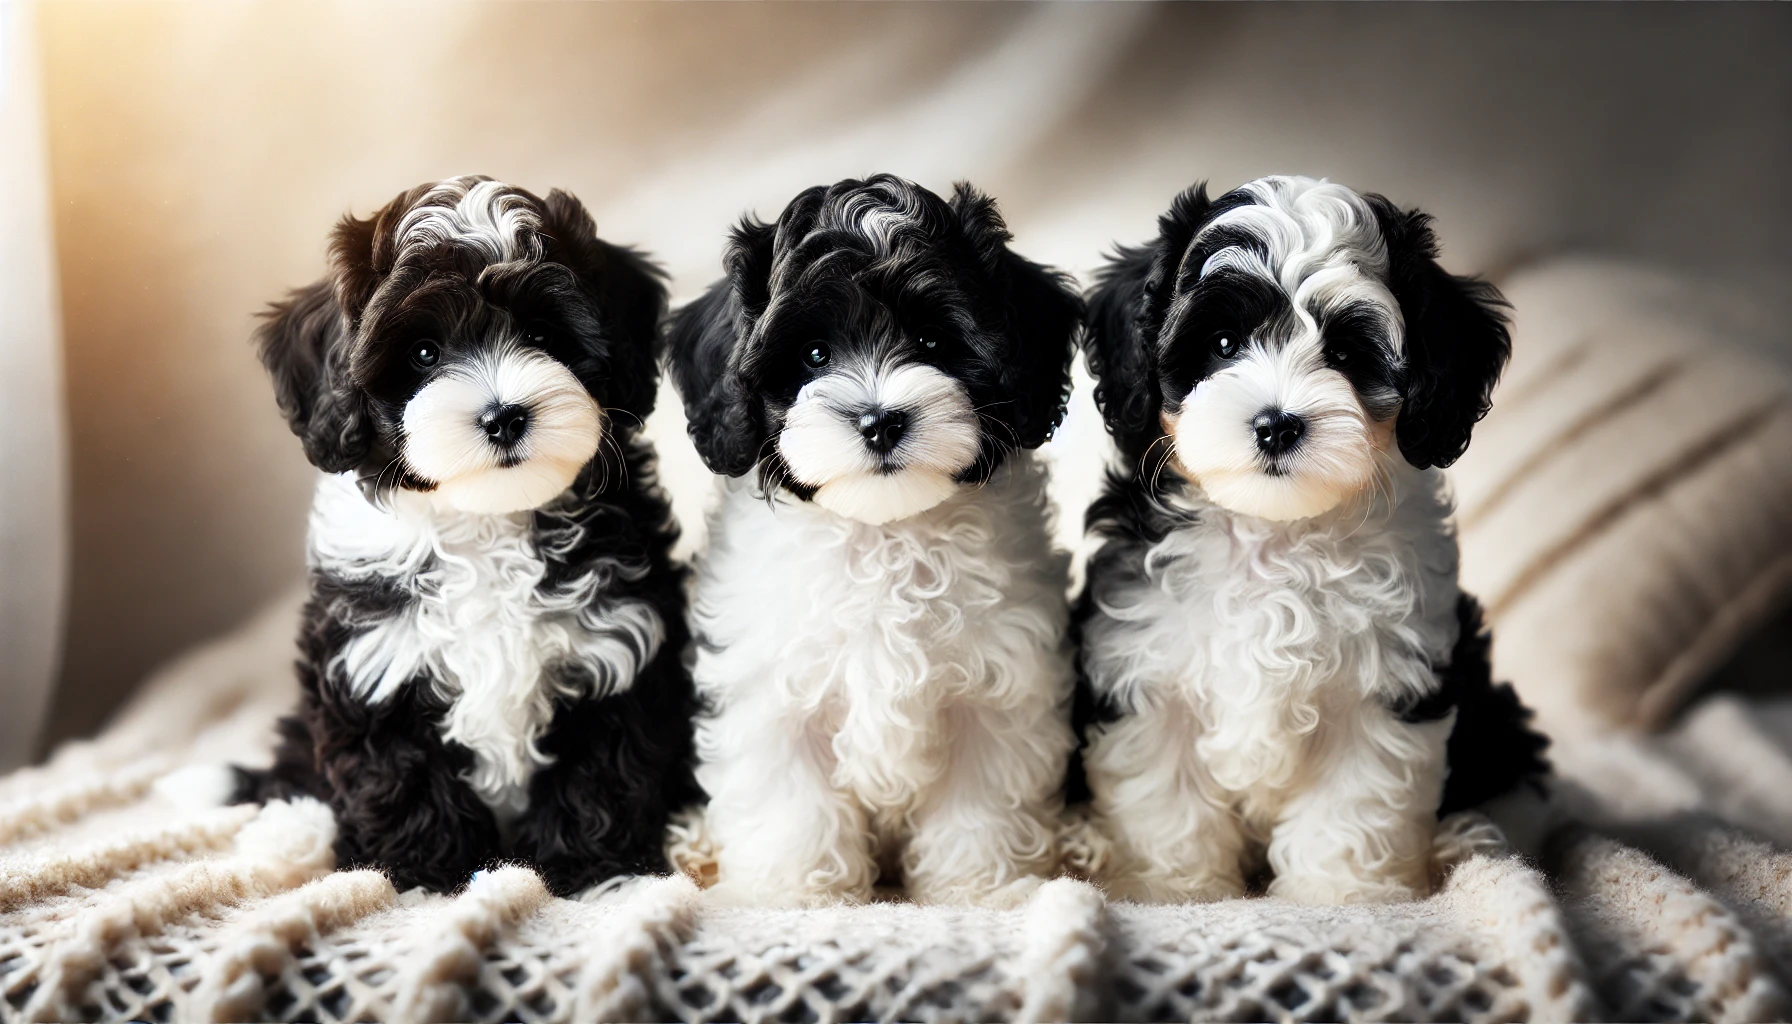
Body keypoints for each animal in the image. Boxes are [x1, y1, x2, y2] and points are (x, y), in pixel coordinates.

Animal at [673, 173, 1082, 903]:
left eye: (932, 342)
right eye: (813, 356)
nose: (880, 420)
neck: (885, 531)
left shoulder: (998, 690)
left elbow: (979, 801)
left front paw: (977, 887)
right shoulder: (770, 692)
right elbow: (793, 803)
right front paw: (799, 893)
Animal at [1068, 176, 1548, 903]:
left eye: (1347, 354)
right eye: (1223, 343)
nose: (1277, 424)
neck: (1275, 530)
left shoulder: (1386, 685)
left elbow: (1351, 804)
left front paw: (1341, 896)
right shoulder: (1144, 664)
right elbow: (1166, 798)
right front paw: (1175, 889)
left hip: (1492, 724)